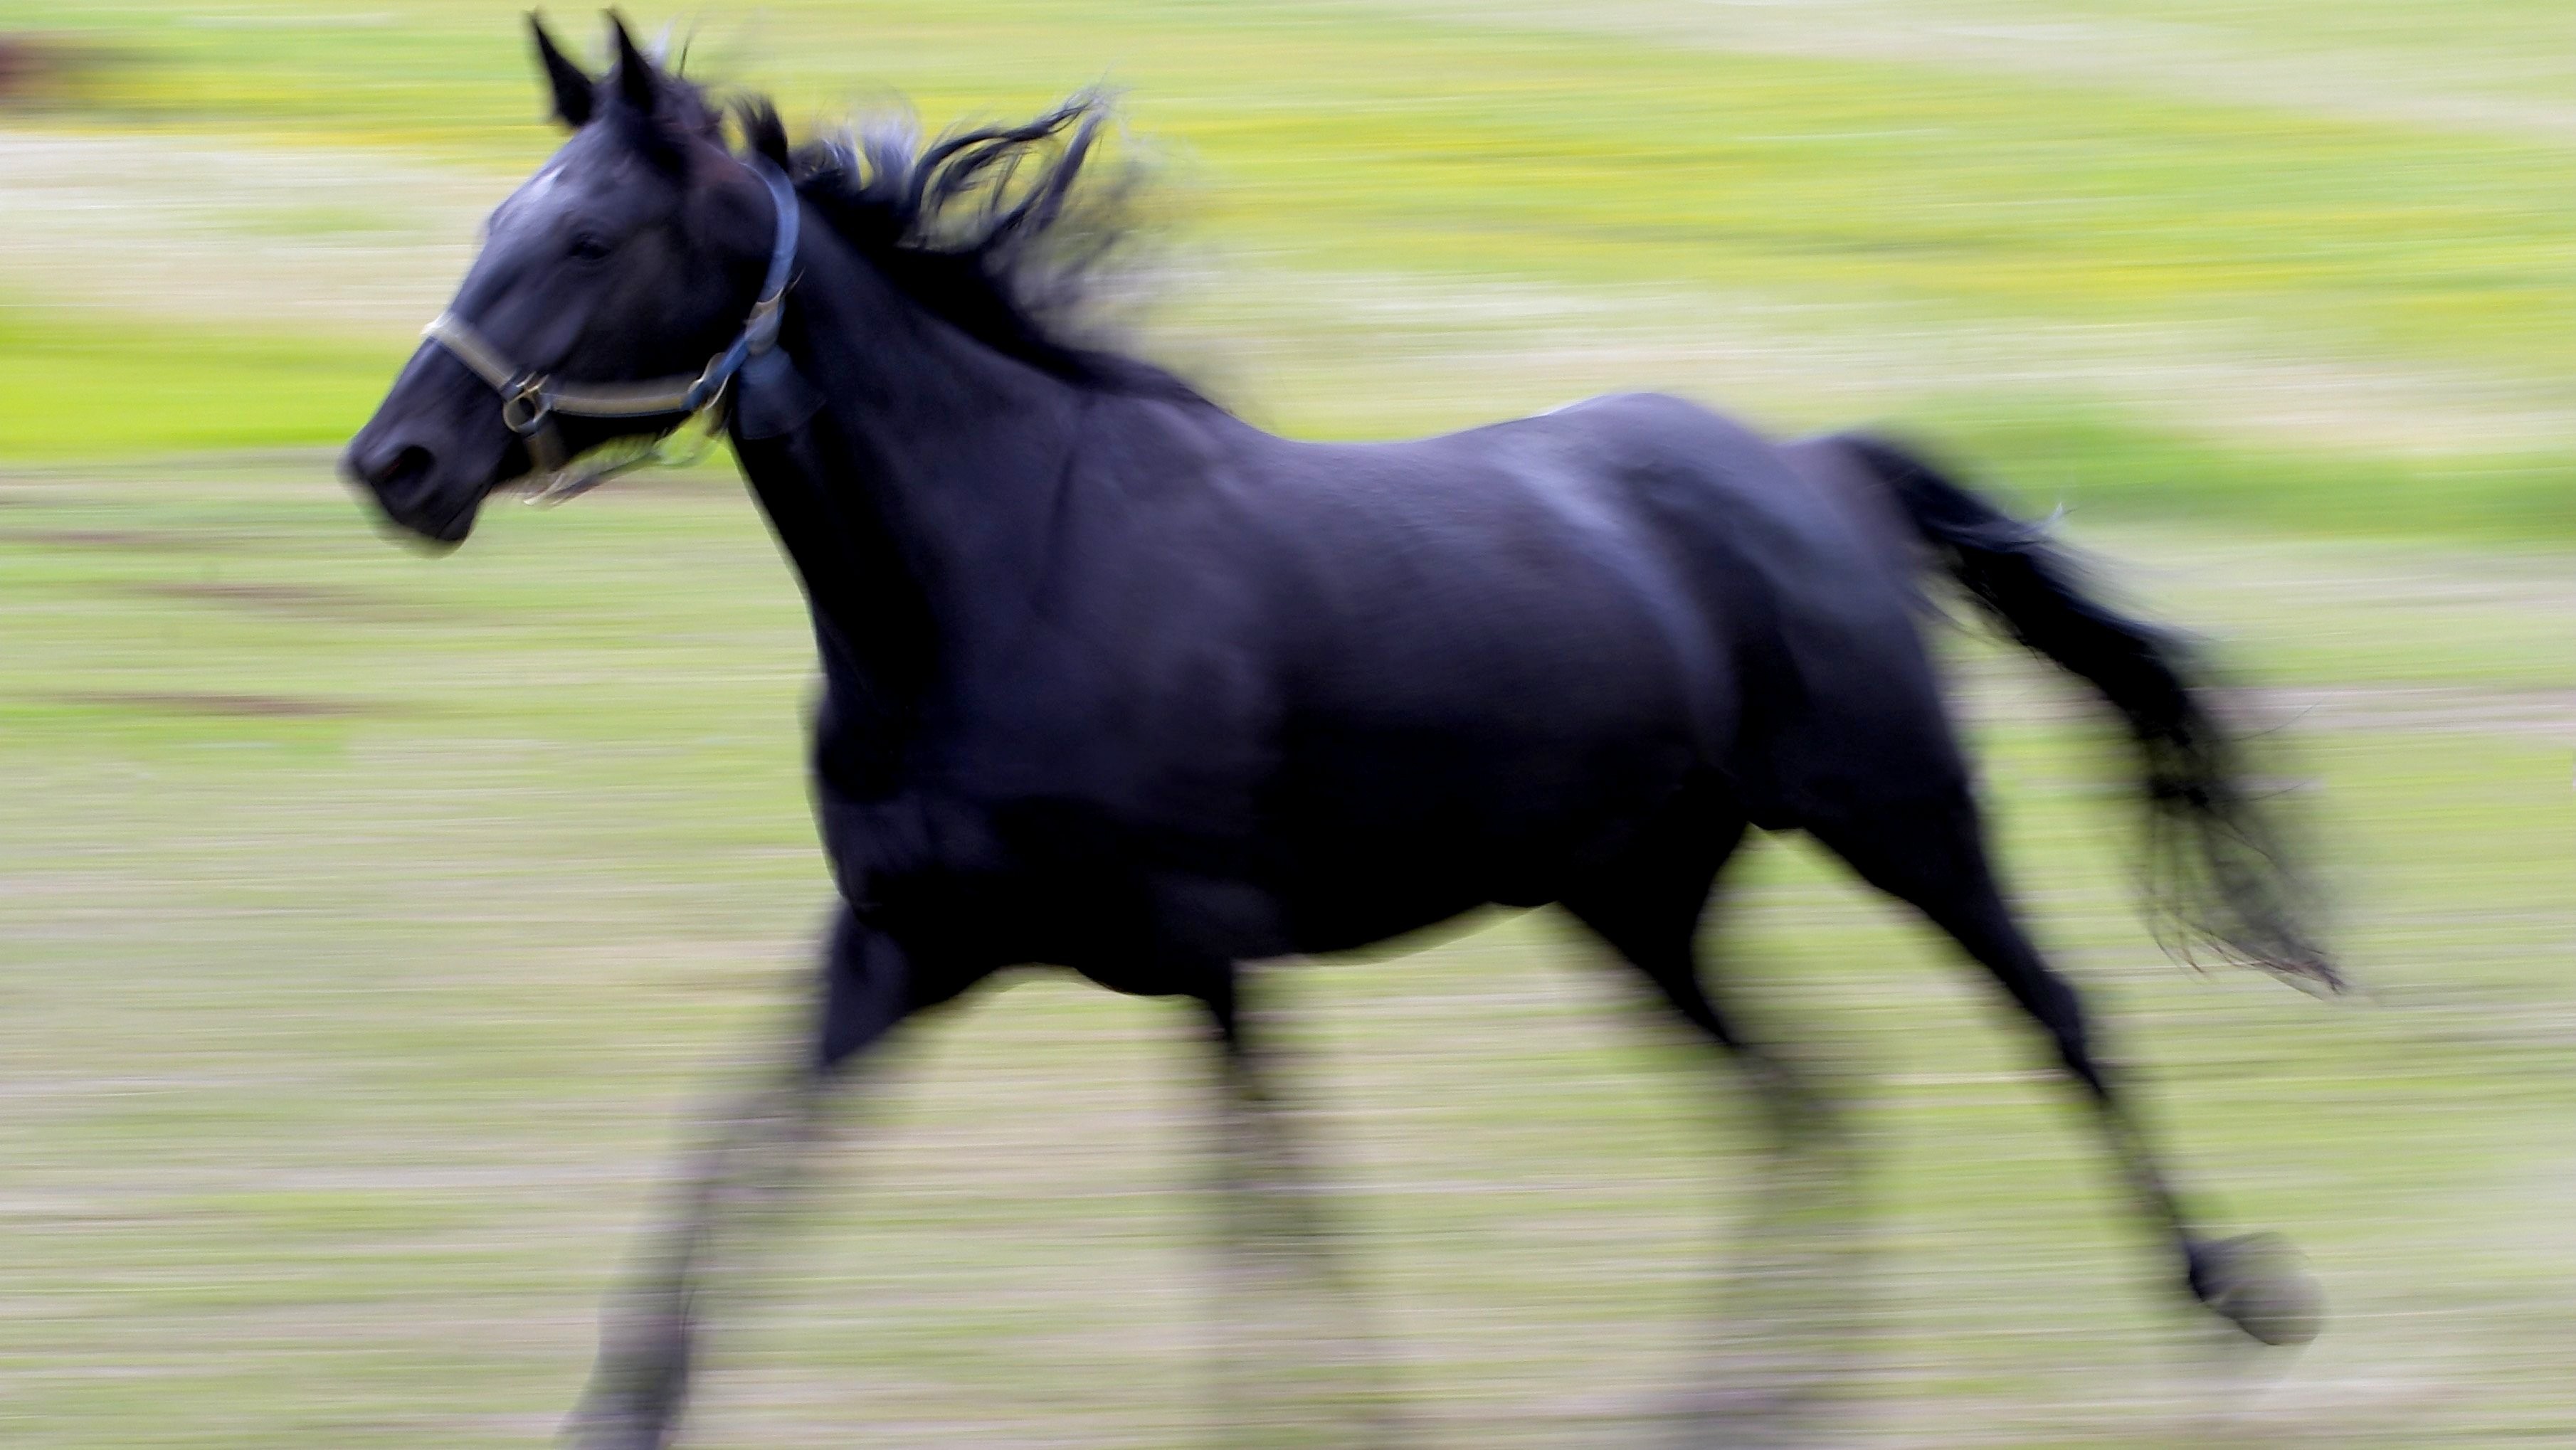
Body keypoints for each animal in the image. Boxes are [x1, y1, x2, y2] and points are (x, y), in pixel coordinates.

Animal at [343, 18, 2338, 1446]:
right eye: (497, 221)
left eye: (588, 233)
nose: (396, 465)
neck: (1000, 574)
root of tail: (1815, 468)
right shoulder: (902, 948)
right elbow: (733, 1174)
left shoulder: (1214, 956)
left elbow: (1270, 1223)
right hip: (1639, 906)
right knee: (1812, 1093)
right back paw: (1743, 1402)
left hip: (1900, 818)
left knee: (2060, 1020)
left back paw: (2236, 1298)